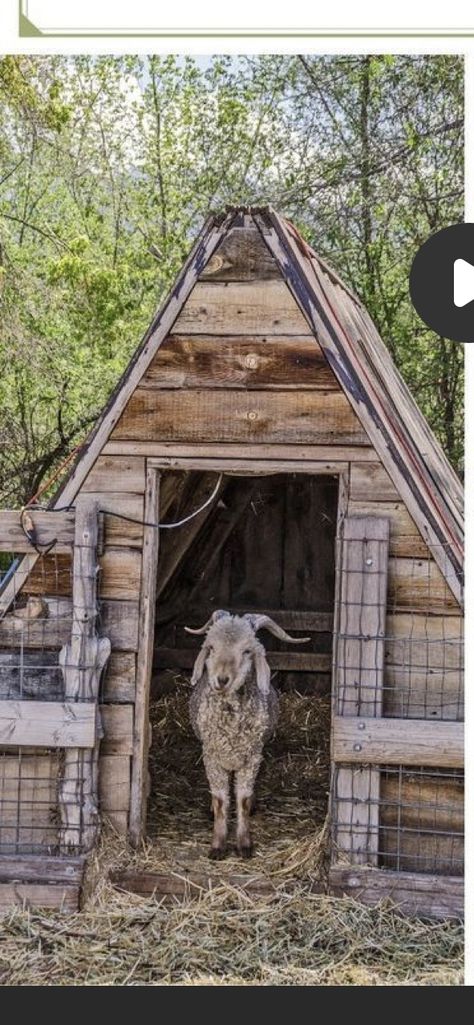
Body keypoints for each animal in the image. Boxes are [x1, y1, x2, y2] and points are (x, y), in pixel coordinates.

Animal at [186, 610, 309, 861]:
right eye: (211, 647)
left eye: (246, 651)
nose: (222, 679)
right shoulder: (211, 756)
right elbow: (221, 801)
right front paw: (217, 846)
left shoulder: (251, 758)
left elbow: (241, 800)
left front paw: (244, 844)